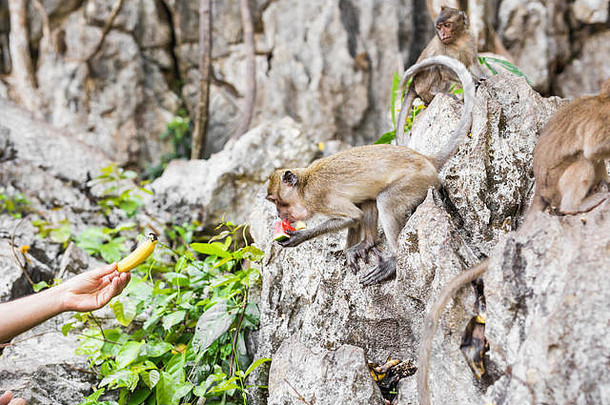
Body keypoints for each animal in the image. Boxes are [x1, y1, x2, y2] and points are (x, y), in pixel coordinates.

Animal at [266, 54, 476, 288]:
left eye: (276, 201)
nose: (278, 215)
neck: (304, 184)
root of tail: (425, 159)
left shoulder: (316, 196)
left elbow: (353, 216)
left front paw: (298, 237)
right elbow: (358, 212)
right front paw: (352, 247)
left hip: (418, 181)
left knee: (385, 200)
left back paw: (393, 261)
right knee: (369, 199)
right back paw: (367, 243)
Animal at [396, 6, 482, 144]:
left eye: (447, 25)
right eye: (439, 27)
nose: (442, 34)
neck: (457, 40)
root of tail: (412, 85)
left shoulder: (470, 39)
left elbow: (473, 63)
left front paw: (485, 78)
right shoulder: (441, 47)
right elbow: (445, 69)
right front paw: (475, 82)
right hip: (422, 86)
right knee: (435, 65)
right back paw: (435, 92)